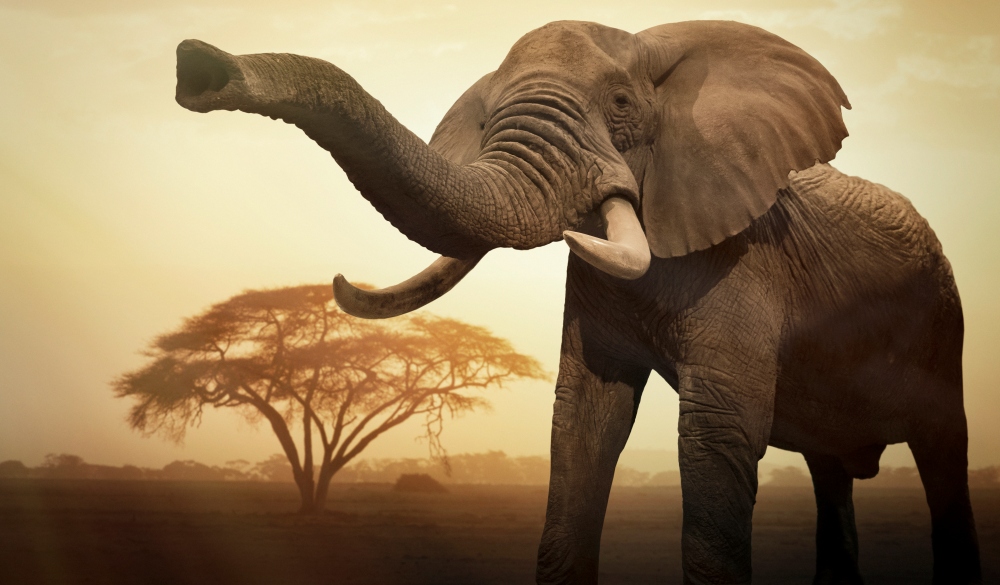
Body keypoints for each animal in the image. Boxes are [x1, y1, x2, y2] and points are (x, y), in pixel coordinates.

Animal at [176, 19, 980, 584]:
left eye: (622, 105)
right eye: (488, 119)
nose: (196, 67)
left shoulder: (749, 263)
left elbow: (718, 431)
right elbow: (584, 423)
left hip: (943, 319)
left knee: (943, 452)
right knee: (831, 472)